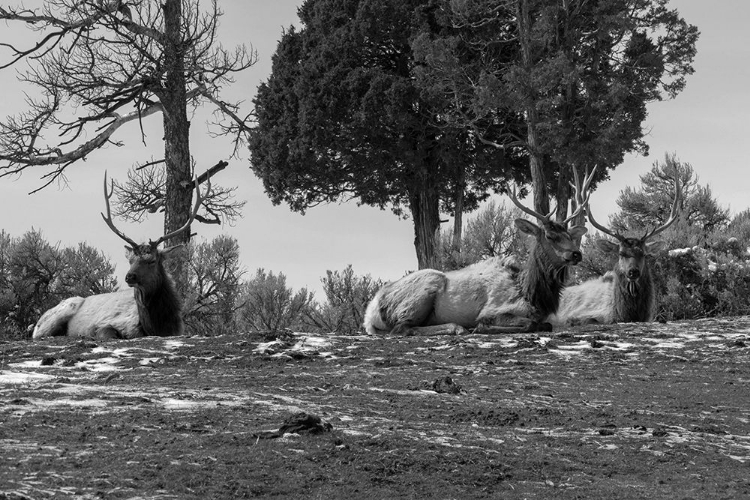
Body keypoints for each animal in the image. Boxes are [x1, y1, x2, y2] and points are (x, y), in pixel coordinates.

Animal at [32, 173, 209, 340]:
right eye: (130, 260)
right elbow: (107, 332)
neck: (157, 326)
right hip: (57, 315)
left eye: (152, 260)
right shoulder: (107, 323)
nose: (130, 276)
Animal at [366, 168, 600, 336]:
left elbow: (546, 324)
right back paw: (457, 327)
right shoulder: (494, 309)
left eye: (570, 235)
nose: (576, 254)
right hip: (420, 293)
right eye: (550, 236)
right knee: (402, 328)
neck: (535, 295)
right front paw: (480, 327)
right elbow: (530, 324)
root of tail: (370, 311)